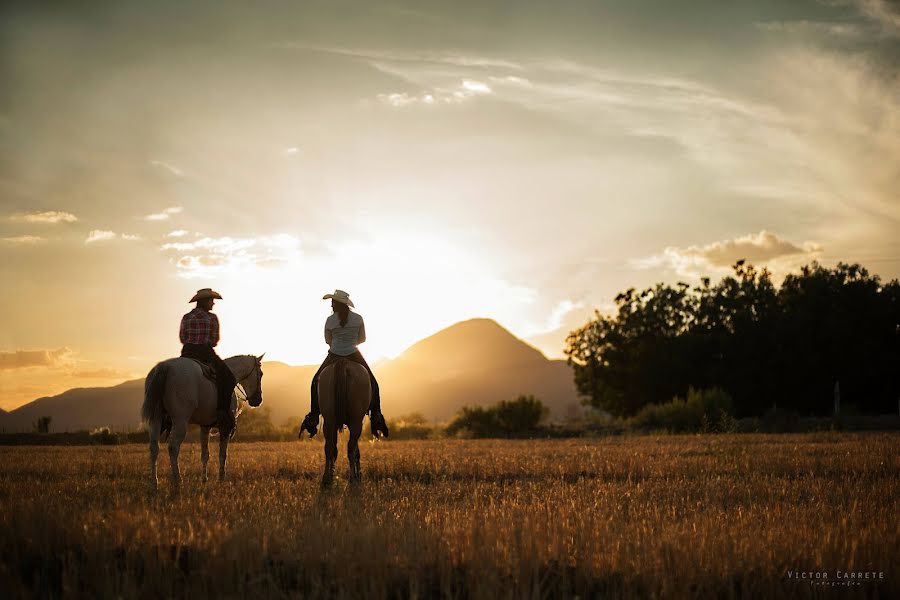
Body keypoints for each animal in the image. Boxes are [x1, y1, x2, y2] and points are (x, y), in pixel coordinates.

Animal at [139, 354, 262, 490]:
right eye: (261, 374)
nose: (258, 400)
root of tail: (165, 366)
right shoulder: (225, 427)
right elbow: (222, 454)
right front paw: (221, 479)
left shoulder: (205, 427)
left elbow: (205, 455)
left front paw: (204, 480)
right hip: (180, 421)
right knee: (173, 447)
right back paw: (178, 481)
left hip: (156, 420)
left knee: (154, 448)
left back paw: (154, 483)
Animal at [318, 358, 370, 486]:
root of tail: (343, 362)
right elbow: (356, 451)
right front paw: (358, 473)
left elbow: (334, 449)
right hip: (356, 421)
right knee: (350, 447)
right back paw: (353, 478)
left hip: (329, 420)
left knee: (329, 447)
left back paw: (327, 478)